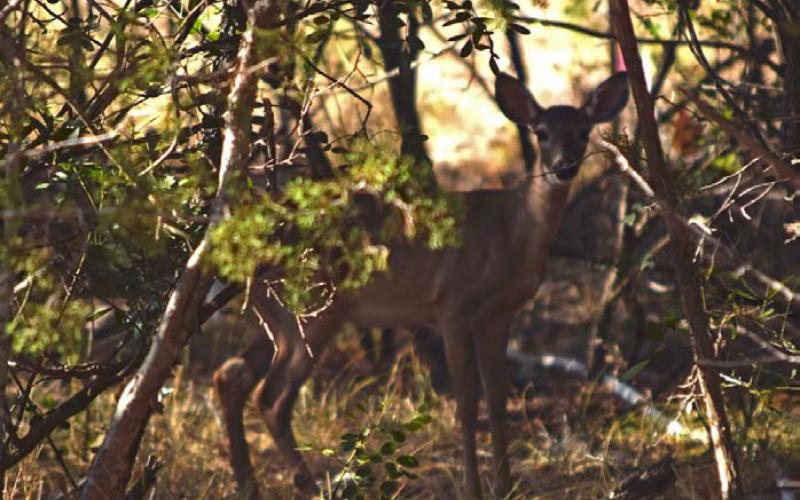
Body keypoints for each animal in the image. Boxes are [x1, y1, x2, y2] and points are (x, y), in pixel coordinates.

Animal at [212, 69, 629, 499]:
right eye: (542, 132)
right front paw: (473, 487)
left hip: (280, 316)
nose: (564, 167)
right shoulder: (453, 305)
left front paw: (505, 484)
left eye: (583, 131)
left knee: (231, 375)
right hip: (314, 311)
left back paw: (249, 484)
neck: (511, 233)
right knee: (272, 397)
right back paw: (308, 485)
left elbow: (498, 398)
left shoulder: (498, 316)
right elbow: (467, 400)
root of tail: (238, 247)